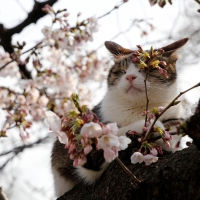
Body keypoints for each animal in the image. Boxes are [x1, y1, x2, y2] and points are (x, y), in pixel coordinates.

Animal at [50, 38, 188, 198]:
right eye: (122, 71)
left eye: (147, 68)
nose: (129, 77)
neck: (139, 108)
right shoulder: (85, 151)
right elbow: (113, 136)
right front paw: (154, 127)